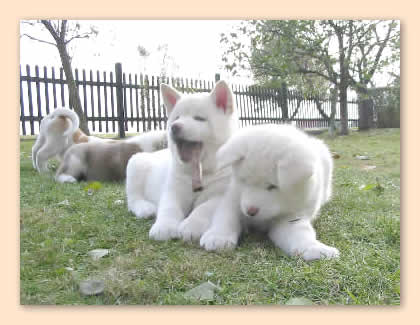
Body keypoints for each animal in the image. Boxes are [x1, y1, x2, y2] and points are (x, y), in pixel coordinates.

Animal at [199, 124, 340, 260]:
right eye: (243, 181)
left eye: (272, 186)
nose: (250, 212)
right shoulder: (233, 197)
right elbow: (227, 216)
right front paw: (218, 237)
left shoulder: (291, 218)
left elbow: (300, 235)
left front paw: (315, 249)